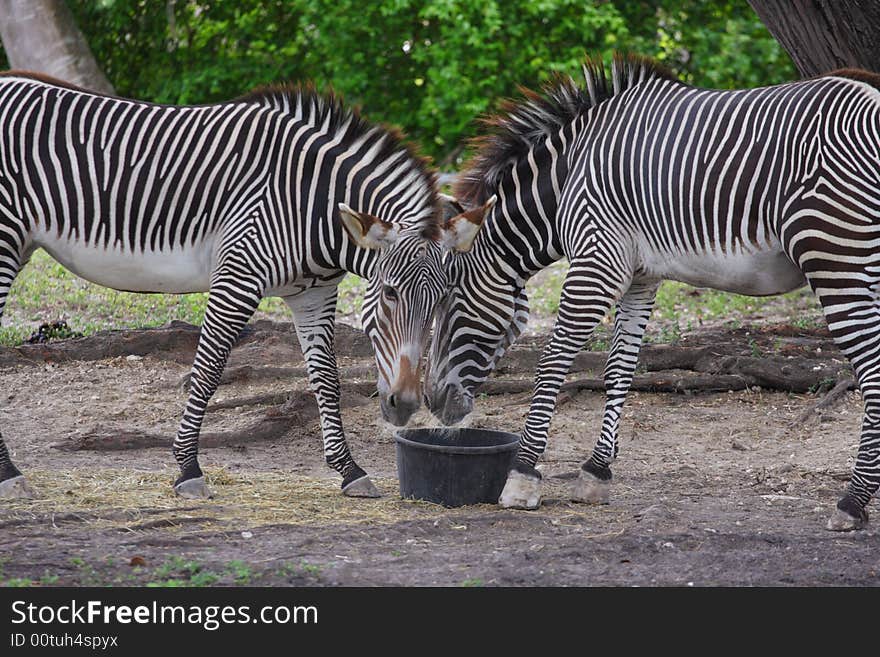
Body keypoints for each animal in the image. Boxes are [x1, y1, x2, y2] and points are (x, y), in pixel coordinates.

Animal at [0, 72, 482, 500]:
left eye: (442, 301)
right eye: (389, 294)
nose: (406, 405)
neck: (313, 204)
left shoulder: (314, 294)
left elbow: (327, 378)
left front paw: (350, 471)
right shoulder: (238, 277)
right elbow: (208, 371)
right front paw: (187, 469)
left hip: (21, 244)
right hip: (5, 237)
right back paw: (10, 474)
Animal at [426, 53, 880, 532]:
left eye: (448, 302)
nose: (431, 401)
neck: (569, 176)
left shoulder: (596, 260)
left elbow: (553, 361)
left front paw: (523, 475)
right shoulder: (640, 275)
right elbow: (620, 367)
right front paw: (596, 472)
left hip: (835, 258)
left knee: (872, 375)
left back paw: (852, 502)